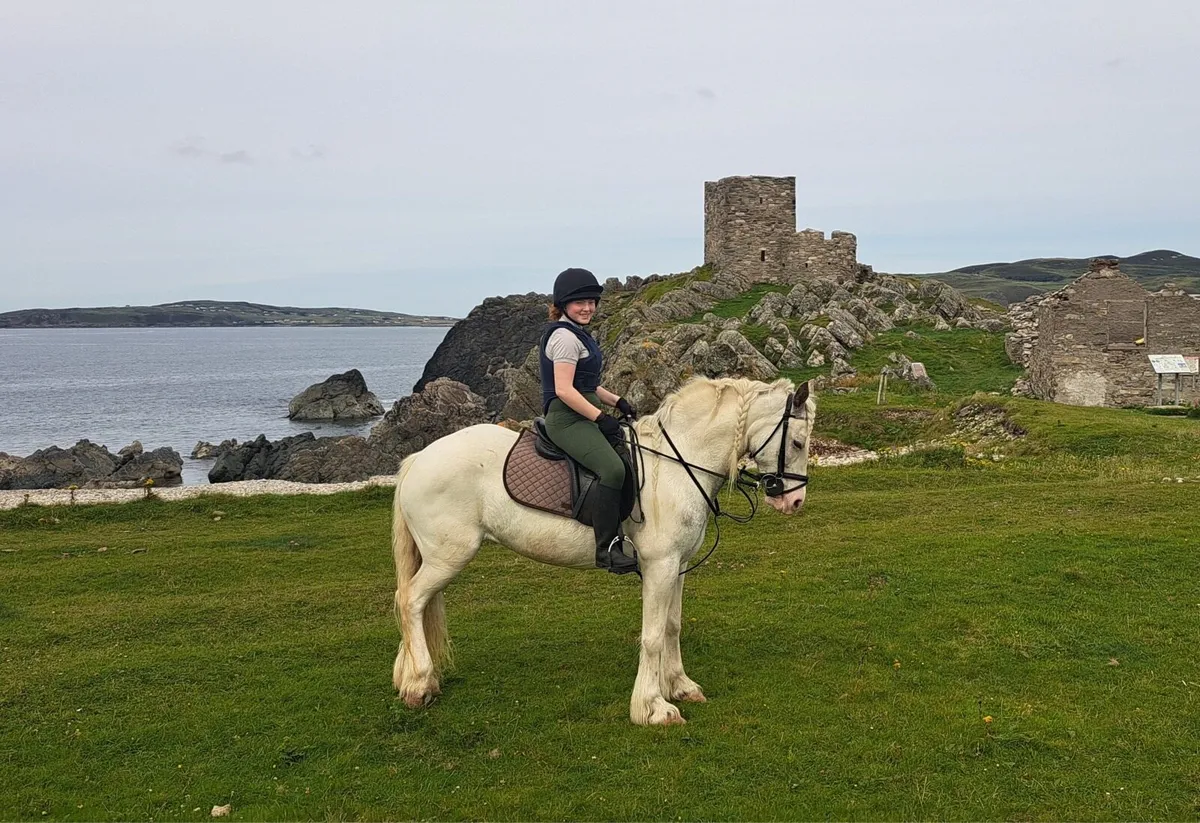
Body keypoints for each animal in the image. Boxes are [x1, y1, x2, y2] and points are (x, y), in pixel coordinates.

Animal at [390, 376, 815, 725]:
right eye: (796, 442)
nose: (795, 502)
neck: (676, 464)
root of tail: (418, 459)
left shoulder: (677, 566)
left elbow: (672, 626)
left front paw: (679, 686)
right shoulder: (659, 566)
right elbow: (652, 635)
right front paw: (653, 707)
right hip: (448, 556)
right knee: (410, 600)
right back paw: (420, 684)